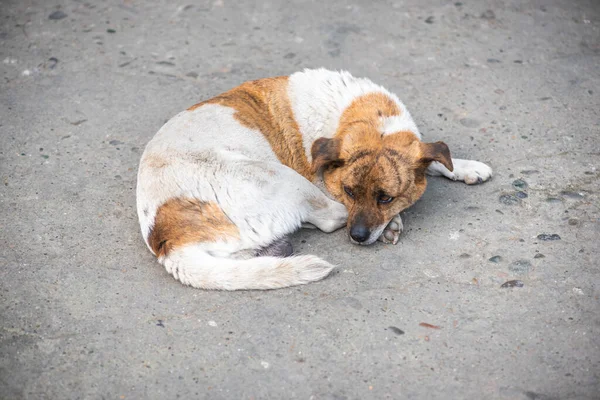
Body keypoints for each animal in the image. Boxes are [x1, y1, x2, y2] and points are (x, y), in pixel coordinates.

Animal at [137, 69, 492, 290]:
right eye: (349, 191)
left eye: (385, 197)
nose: (358, 237)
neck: (362, 113)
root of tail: (167, 241)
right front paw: (392, 221)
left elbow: (433, 158)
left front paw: (466, 167)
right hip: (281, 177)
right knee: (329, 217)